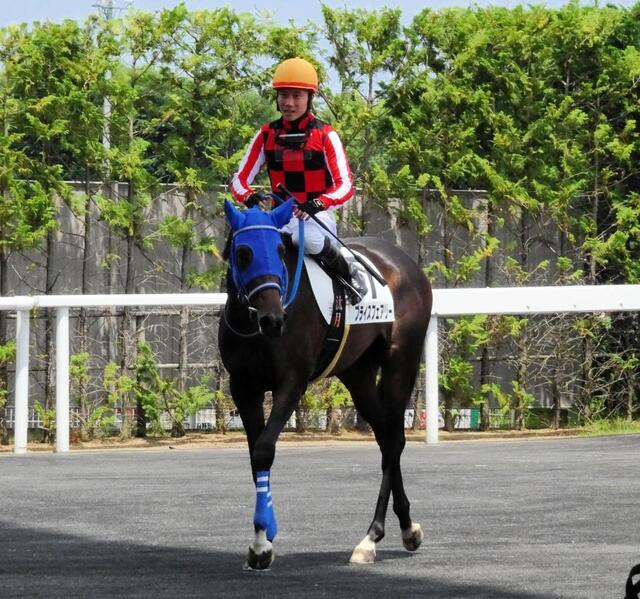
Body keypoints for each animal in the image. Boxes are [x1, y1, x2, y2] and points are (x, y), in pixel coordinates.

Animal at [218, 198, 432, 570]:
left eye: (279, 250)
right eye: (243, 252)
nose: (273, 320)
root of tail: (406, 263)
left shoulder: (292, 382)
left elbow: (264, 450)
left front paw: (261, 543)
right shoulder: (244, 387)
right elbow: (255, 456)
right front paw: (264, 541)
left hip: (400, 361)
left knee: (393, 439)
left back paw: (371, 537)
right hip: (358, 373)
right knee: (386, 438)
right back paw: (407, 527)